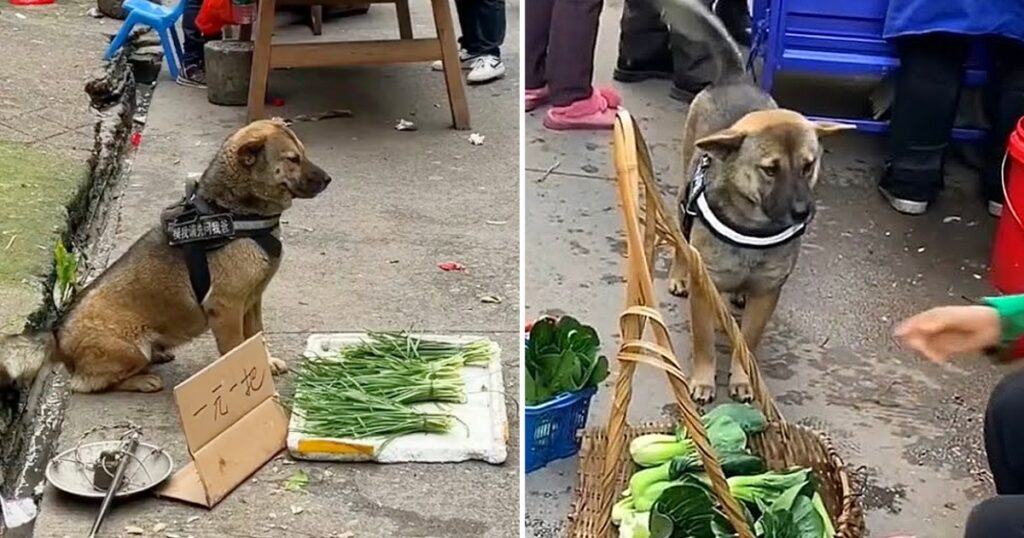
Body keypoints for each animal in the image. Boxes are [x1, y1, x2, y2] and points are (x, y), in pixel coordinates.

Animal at [2, 119, 329, 391]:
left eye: (303, 153)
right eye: (292, 159)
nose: (328, 179)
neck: (235, 213)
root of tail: (57, 335)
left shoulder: (251, 301)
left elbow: (256, 336)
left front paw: (264, 361)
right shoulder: (226, 308)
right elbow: (235, 347)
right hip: (130, 350)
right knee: (86, 384)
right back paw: (142, 380)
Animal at [659, 0, 851, 405]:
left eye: (809, 165)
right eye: (770, 170)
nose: (803, 212)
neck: (753, 229)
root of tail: (738, 77)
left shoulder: (767, 293)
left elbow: (747, 341)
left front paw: (742, 378)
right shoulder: (705, 291)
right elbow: (704, 342)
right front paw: (704, 379)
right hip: (685, 196)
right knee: (682, 237)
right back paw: (680, 274)